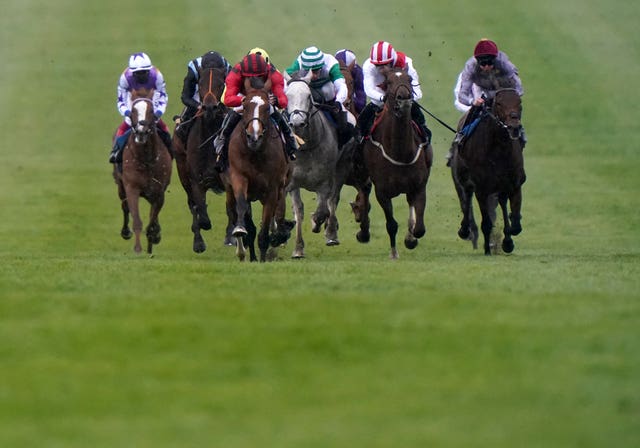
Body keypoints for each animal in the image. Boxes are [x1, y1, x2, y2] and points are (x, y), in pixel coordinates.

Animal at [112, 89, 171, 254]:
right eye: (133, 110)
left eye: (151, 110)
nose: (141, 131)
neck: (146, 159)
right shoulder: (132, 187)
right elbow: (137, 219)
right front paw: (138, 249)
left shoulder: (159, 192)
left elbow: (152, 221)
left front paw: (153, 238)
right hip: (120, 186)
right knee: (125, 207)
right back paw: (126, 232)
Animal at [174, 61, 234, 254]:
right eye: (199, 84)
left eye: (221, 84)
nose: (209, 108)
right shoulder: (195, 179)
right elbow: (200, 210)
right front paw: (199, 238)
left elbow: (232, 209)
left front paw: (230, 235)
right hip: (182, 170)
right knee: (192, 203)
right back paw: (198, 241)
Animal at [222, 79, 288, 262]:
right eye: (245, 106)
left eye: (266, 108)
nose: (254, 137)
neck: (255, 153)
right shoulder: (239, 177)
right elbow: (241, 207)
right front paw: (240, 231)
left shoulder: (273, 188)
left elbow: (266, 224)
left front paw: (265, 255)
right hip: (229, 189)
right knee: (235, 212)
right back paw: (243, 251)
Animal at [360, 66, 436, 260]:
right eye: (388, 82)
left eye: (410, 79)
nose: (405, 99)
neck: (400, 151)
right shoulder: (382, 192)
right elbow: (391, 224)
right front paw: (393, 253)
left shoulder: (419, 186)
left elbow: (419, 228)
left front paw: (411, 239)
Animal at [450, 88, 524, 256]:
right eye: (499, 103)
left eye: (519, 102)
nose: (514, 127)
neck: (499, 149)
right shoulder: (481, 189)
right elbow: (486, 222)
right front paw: (487, 249)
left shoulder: (515, 183)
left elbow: (516, 223)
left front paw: (508, 241)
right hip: (463, 177)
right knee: (467, 197)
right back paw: (465, 230)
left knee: (502, 202)